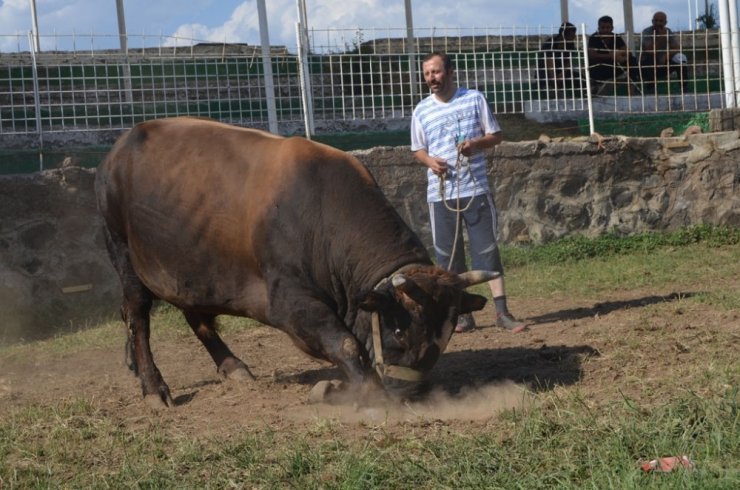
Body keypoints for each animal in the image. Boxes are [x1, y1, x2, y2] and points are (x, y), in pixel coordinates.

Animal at [94, 117, 498, 408]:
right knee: (137, 316)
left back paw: (230, 366)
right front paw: (355, 390)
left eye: (444, 336)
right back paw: (152, 385)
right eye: (399, 331)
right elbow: (345, 343)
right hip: (125, 255)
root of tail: (118, 151)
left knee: (195, 315)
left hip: (190, 264)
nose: (406, 390)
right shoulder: (289, 302)